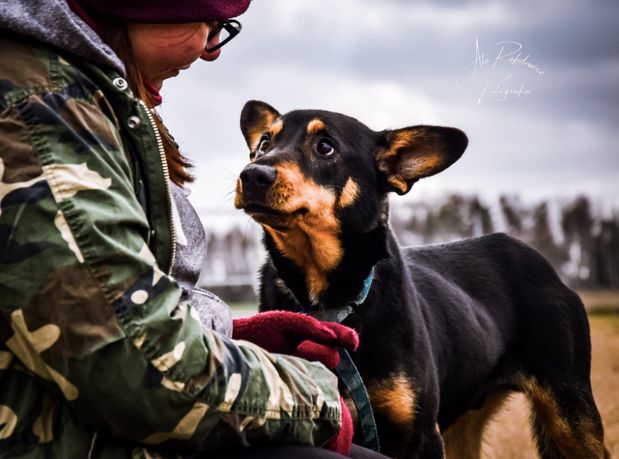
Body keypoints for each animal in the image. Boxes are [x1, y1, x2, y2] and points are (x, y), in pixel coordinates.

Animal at [234, 101, 612, 459]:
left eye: (325, 147)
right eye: (264, 143)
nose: (251, 174)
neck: (330, 302)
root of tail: (541, 262)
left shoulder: (421, 434)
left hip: (570, 409)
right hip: (465, 426)